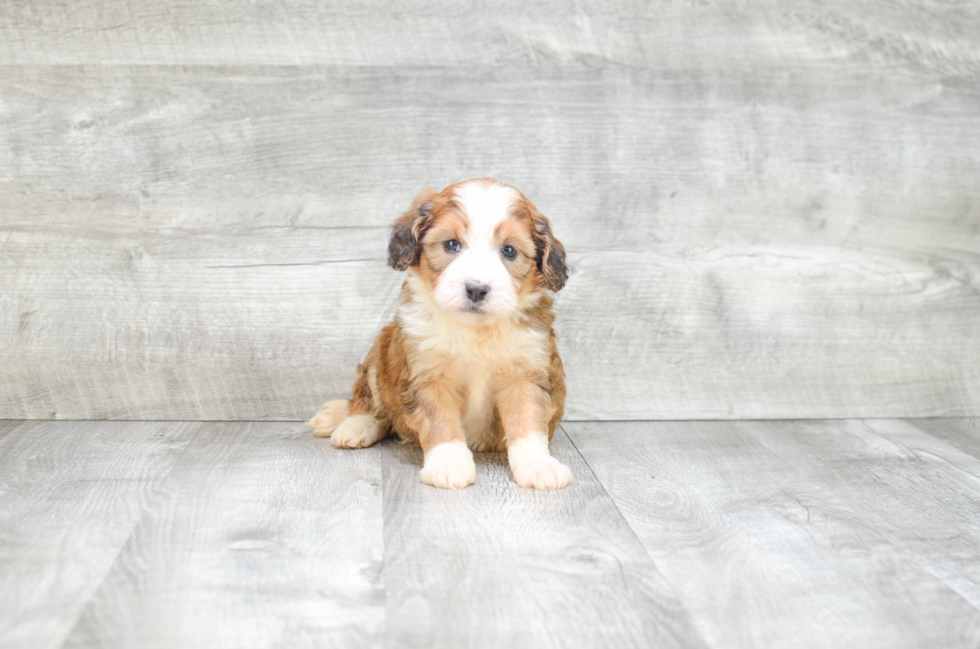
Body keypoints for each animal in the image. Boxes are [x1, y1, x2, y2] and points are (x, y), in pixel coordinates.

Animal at [304, 176, 568, 486]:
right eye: (451, 244)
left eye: (509, 251)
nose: (476, 289)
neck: (475, 330)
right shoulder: (427, 375)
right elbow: (441, 423)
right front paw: (449, 464)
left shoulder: (526, 373)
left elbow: (528, 421)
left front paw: (538, 465)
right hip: (381, 348)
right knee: (371, 403)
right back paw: (355, 425)